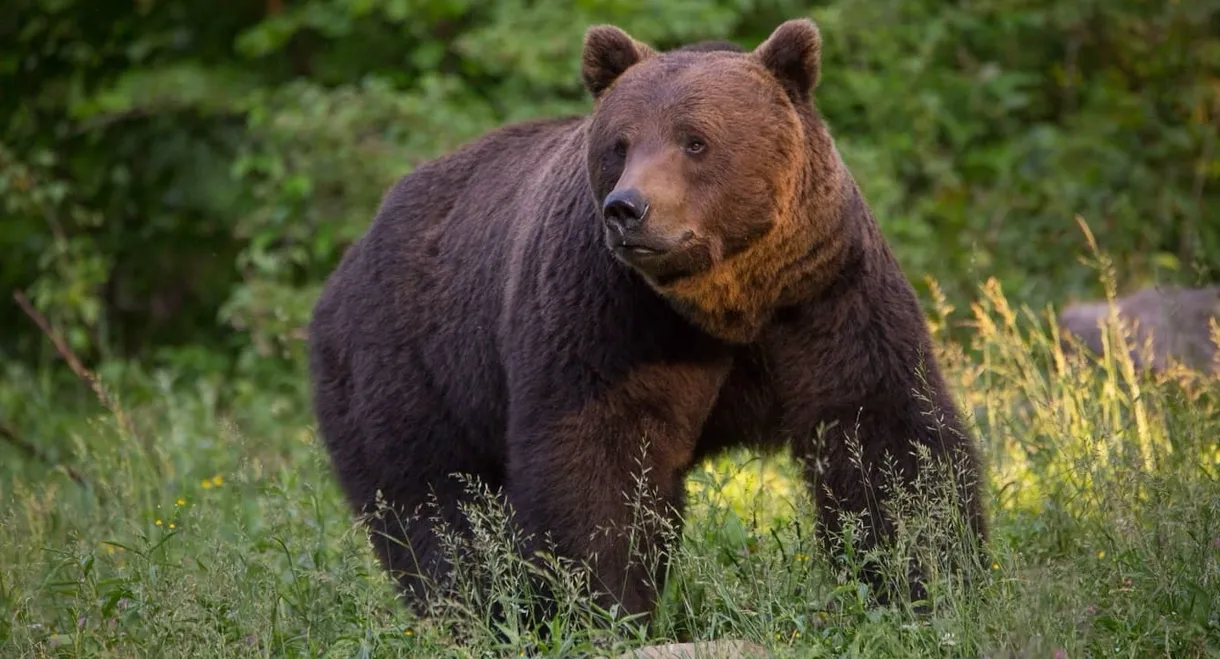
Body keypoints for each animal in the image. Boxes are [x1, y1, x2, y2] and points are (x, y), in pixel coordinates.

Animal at [309, 16, 985, 622]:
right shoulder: (609, 313)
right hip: (407, 361)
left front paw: (930, 578)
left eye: (695, 140)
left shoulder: (824, 295)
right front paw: (604, 603)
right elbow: (601, 457)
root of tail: (350, 258)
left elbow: (884, 437)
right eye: (620, 143)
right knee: (434, 503)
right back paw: (475, 609)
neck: (728, 304)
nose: (627, 209)